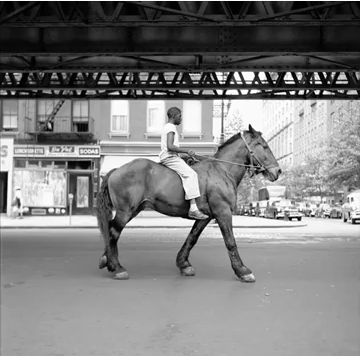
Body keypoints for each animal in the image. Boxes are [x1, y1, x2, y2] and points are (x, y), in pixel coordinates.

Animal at [96, 125, 282, 284]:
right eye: (263, 145)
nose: (278, 171)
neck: (222, 170)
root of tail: (116, 170)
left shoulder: (206, 217)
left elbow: (192, 238)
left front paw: (183, 264)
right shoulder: (223, 212)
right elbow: (230, 241)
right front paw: (243, 271)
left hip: (134, 210)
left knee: (111, 229)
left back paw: (107, 260)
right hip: (125, 211)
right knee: (113, 232)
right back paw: (117, 267)